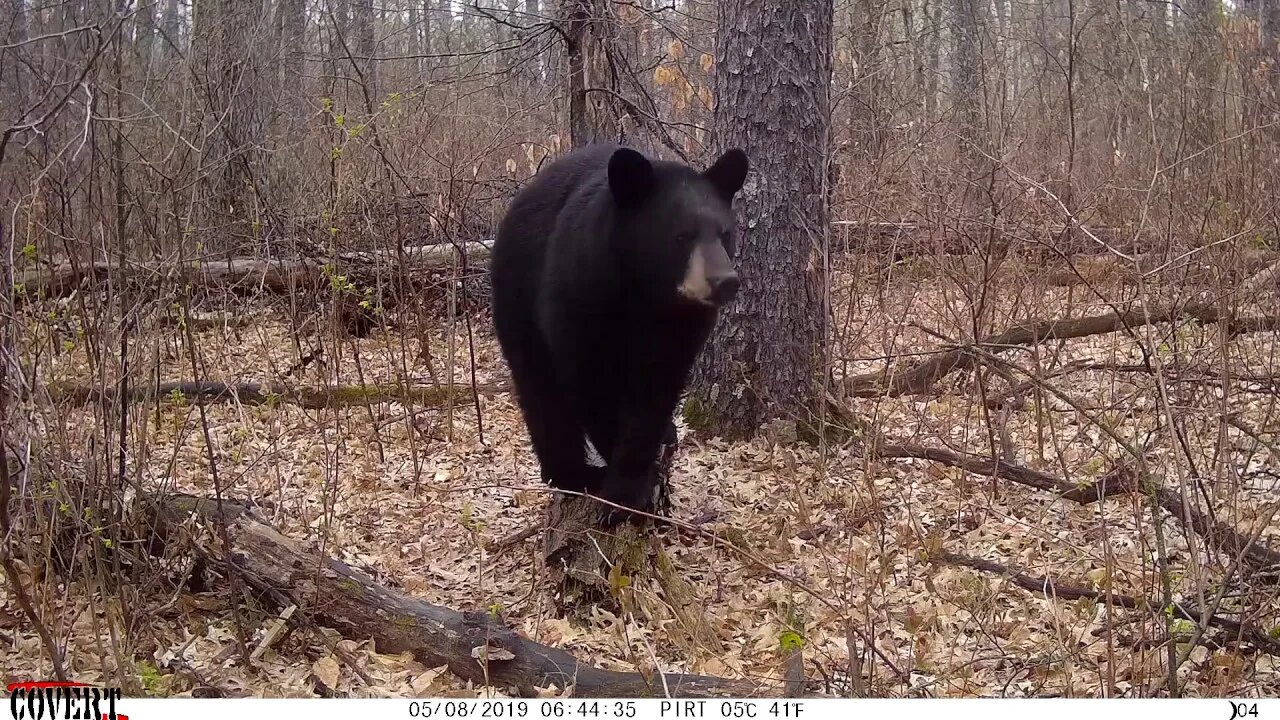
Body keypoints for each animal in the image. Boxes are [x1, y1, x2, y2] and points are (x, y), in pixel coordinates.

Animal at [488, 141, 747, 520]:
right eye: (681, 235)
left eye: (725, 233)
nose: (725, 281)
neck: (645, 290)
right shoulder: (582, 290)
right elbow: (590, 381)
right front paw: (620, 487)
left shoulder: (681, 323)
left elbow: (656, 388)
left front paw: (631, 481)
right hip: (517, 298)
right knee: (541, 391)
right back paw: (572, 473)